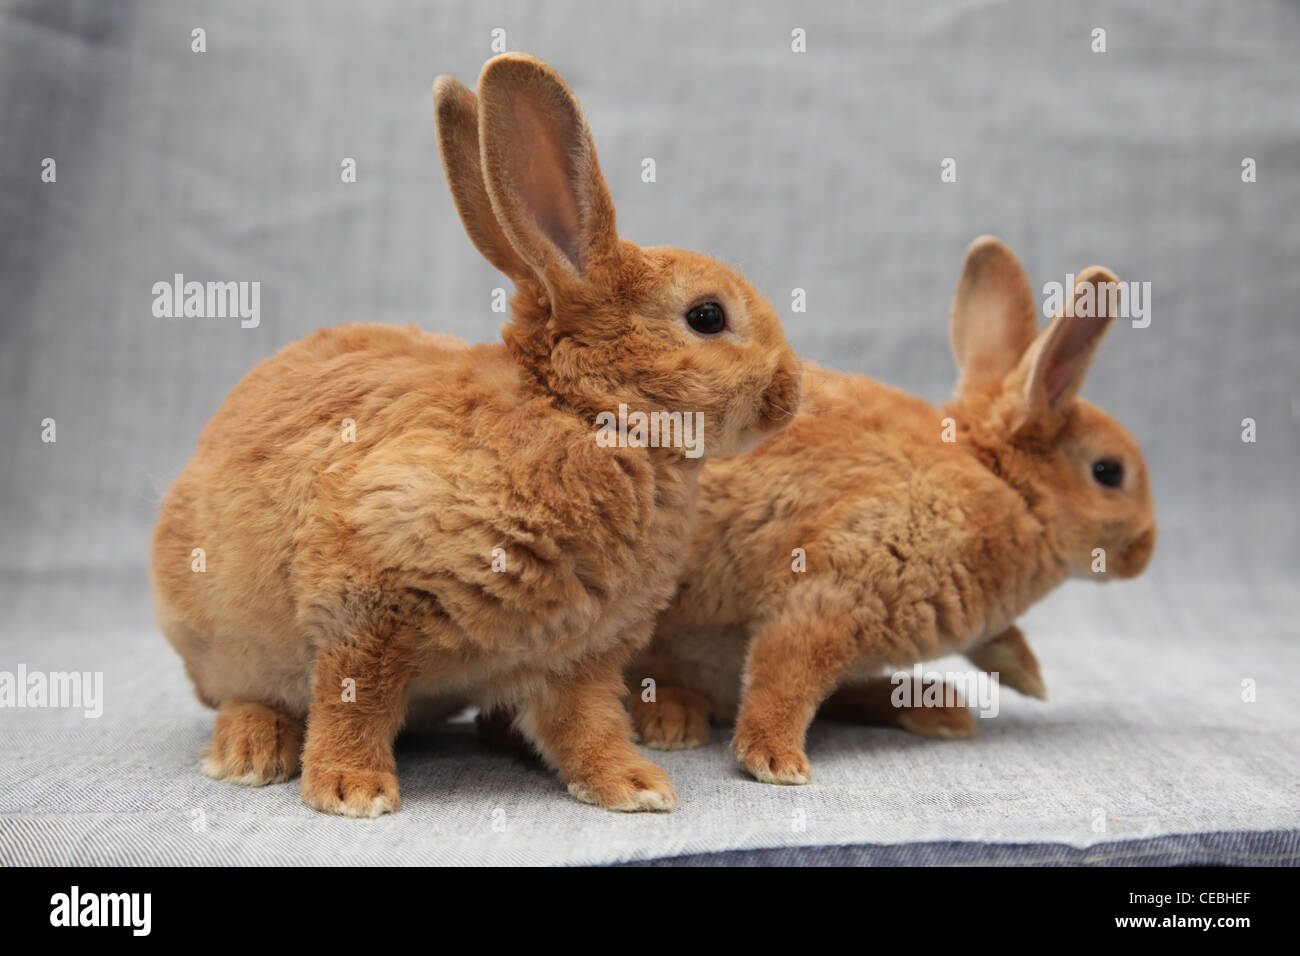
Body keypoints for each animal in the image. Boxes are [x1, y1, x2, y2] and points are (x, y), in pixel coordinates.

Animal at [149, 52, 801, 816]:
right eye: (706, 317)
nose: (791, 393)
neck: (585, 416)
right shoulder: (363, 604)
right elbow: (354, 701)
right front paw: (350, 790)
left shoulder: (578, 654)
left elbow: (587, 724)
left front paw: (633, 785)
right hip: (227, 642)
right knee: (245, 696)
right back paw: (251, 752)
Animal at [626, 236, 1155, 784]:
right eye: (1109, 472)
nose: (1145, 551)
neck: (1002, 484)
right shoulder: (838, 587)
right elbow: (787, 669)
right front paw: (774, 759)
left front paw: (1029, 677)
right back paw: (671, 720)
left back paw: (937, 708)